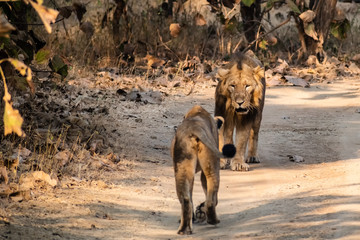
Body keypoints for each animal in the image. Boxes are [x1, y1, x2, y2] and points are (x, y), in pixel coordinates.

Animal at [172, 105, 236, 234]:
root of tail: (194, 127)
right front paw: (201, 210)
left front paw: (197, 213)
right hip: (212, 167)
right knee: (212, 199)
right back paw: (212, 219)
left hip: (181, 169)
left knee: (186, 199)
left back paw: (184, 229)